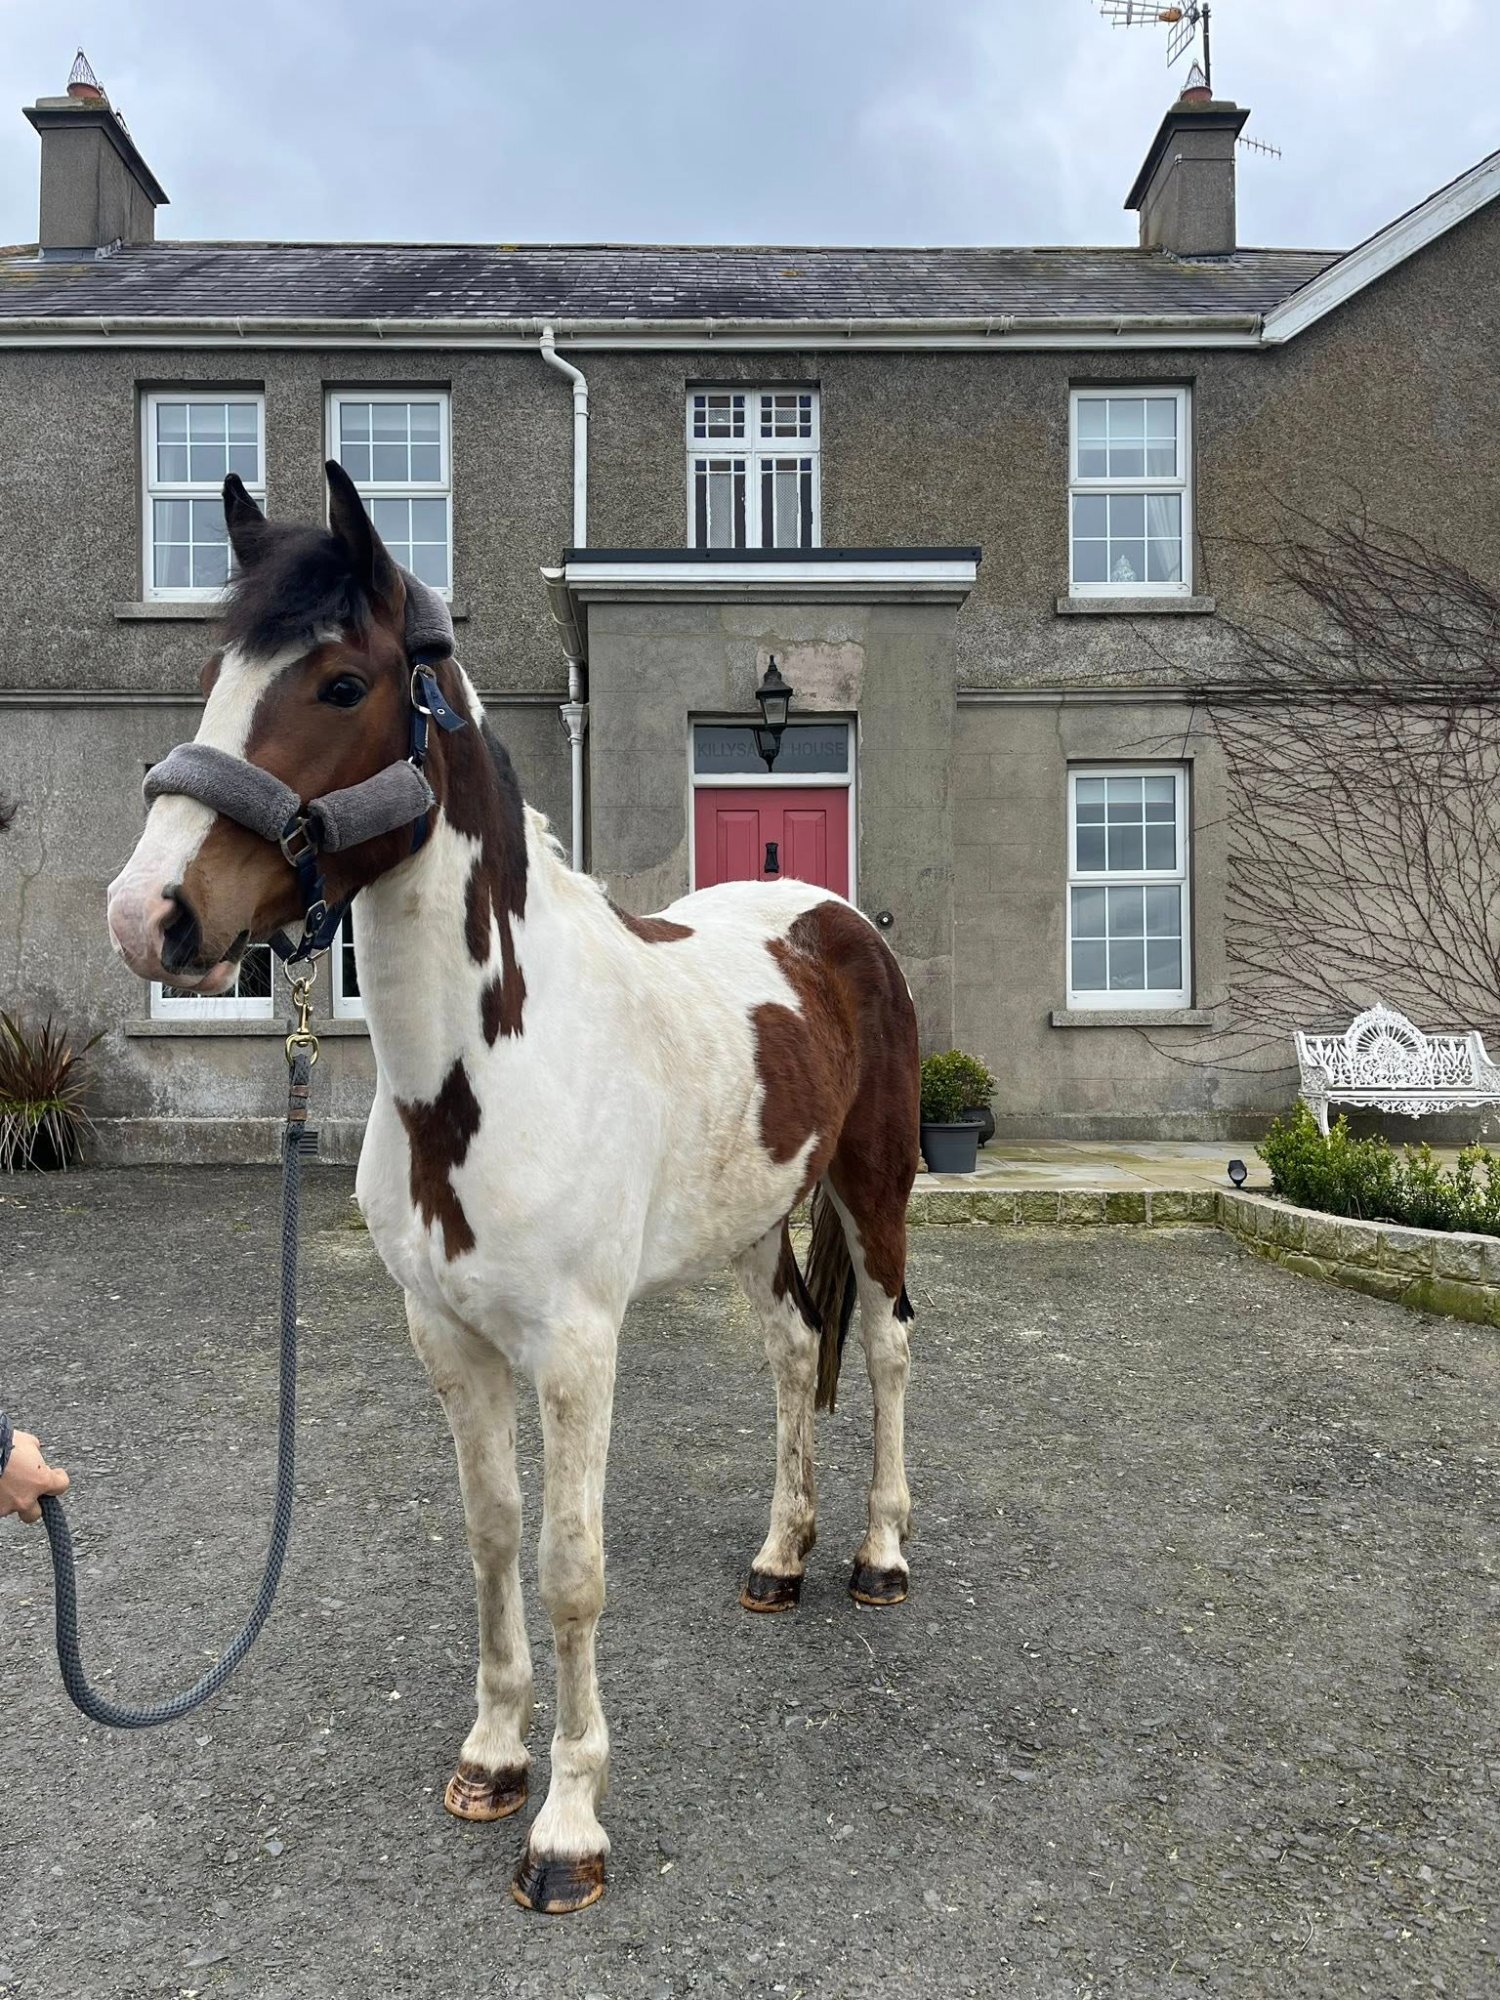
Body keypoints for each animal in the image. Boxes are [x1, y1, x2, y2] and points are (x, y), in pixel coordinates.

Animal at [105, 461, 921, 1914]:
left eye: (340, 683)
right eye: (214, 672)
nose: (149, 915)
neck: (488, 1065)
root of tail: (836, 919)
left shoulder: (576, 1349)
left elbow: (569, 1565)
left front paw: (569, 1825)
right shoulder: (447, 1335)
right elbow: (492, 1536)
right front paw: (493, 1758)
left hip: (871, 1189)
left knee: (880, 1348)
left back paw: (877, 1556)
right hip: (755, 1219)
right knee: (789, 1352)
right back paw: (780, 1559)